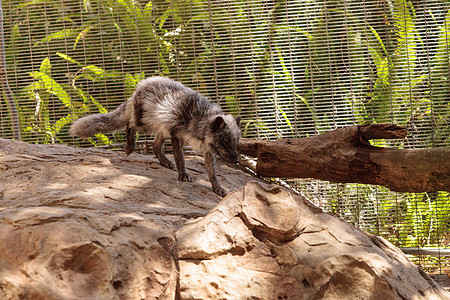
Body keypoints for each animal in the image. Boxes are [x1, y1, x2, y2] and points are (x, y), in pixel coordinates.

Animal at [68, 76, 241, 196]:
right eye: (225, 141)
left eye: (235, 142)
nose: (237, 160)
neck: (200, 119)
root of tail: (140, 86)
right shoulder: (176, 135)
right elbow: (181, 159)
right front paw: (183, 175)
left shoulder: (206, 149)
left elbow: (212, 173)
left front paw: (218, 188)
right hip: (145, 124)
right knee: (130, 125)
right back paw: (130, 147)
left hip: (161, 129)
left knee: (155, 146)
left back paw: (164, 161)